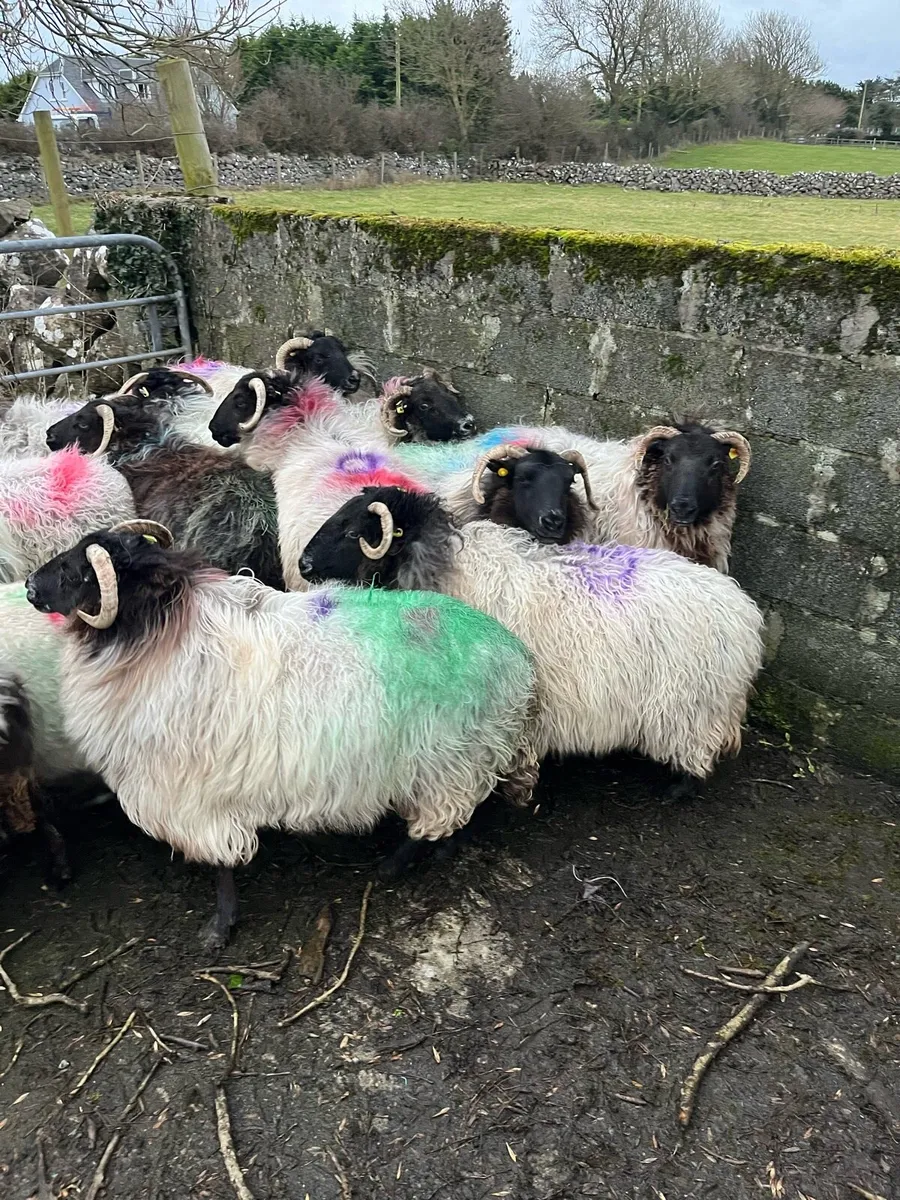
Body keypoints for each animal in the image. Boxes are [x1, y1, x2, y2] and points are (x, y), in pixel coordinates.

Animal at [25, 523, 539, 947]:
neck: (158, 633)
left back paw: (396, 863)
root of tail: (517, 655)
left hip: (450, 759)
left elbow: (221, 865)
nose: (30, 587)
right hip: (456, 761)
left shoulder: (193, 793)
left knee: (445, 813)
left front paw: (219, 929)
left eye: (76, 569)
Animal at [300, 485, 765, 794]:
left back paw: (675, 788)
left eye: (351, 531)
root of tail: (745, 614)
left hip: (692, 708)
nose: (302, 564)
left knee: (696, 762)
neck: (448, 570)